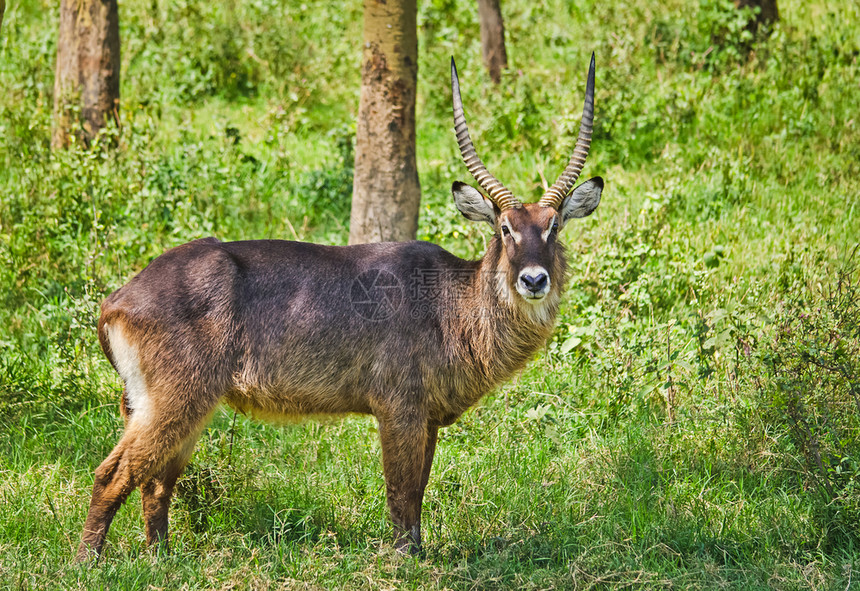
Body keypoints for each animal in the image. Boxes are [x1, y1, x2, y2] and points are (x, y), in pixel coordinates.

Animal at [75, 53, 604, 560]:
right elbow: (402, 493)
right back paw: (89, 563)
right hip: (175, 398)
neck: (450, 302)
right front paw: (405, 560)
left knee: (156, 481)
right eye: (505, 229)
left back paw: (161, 558)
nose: (533, 280)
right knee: (113, 474)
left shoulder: (427, 417)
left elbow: (419, 491)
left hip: (182, 404)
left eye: (554, 225)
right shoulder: (399, 409)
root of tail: (115, 300)